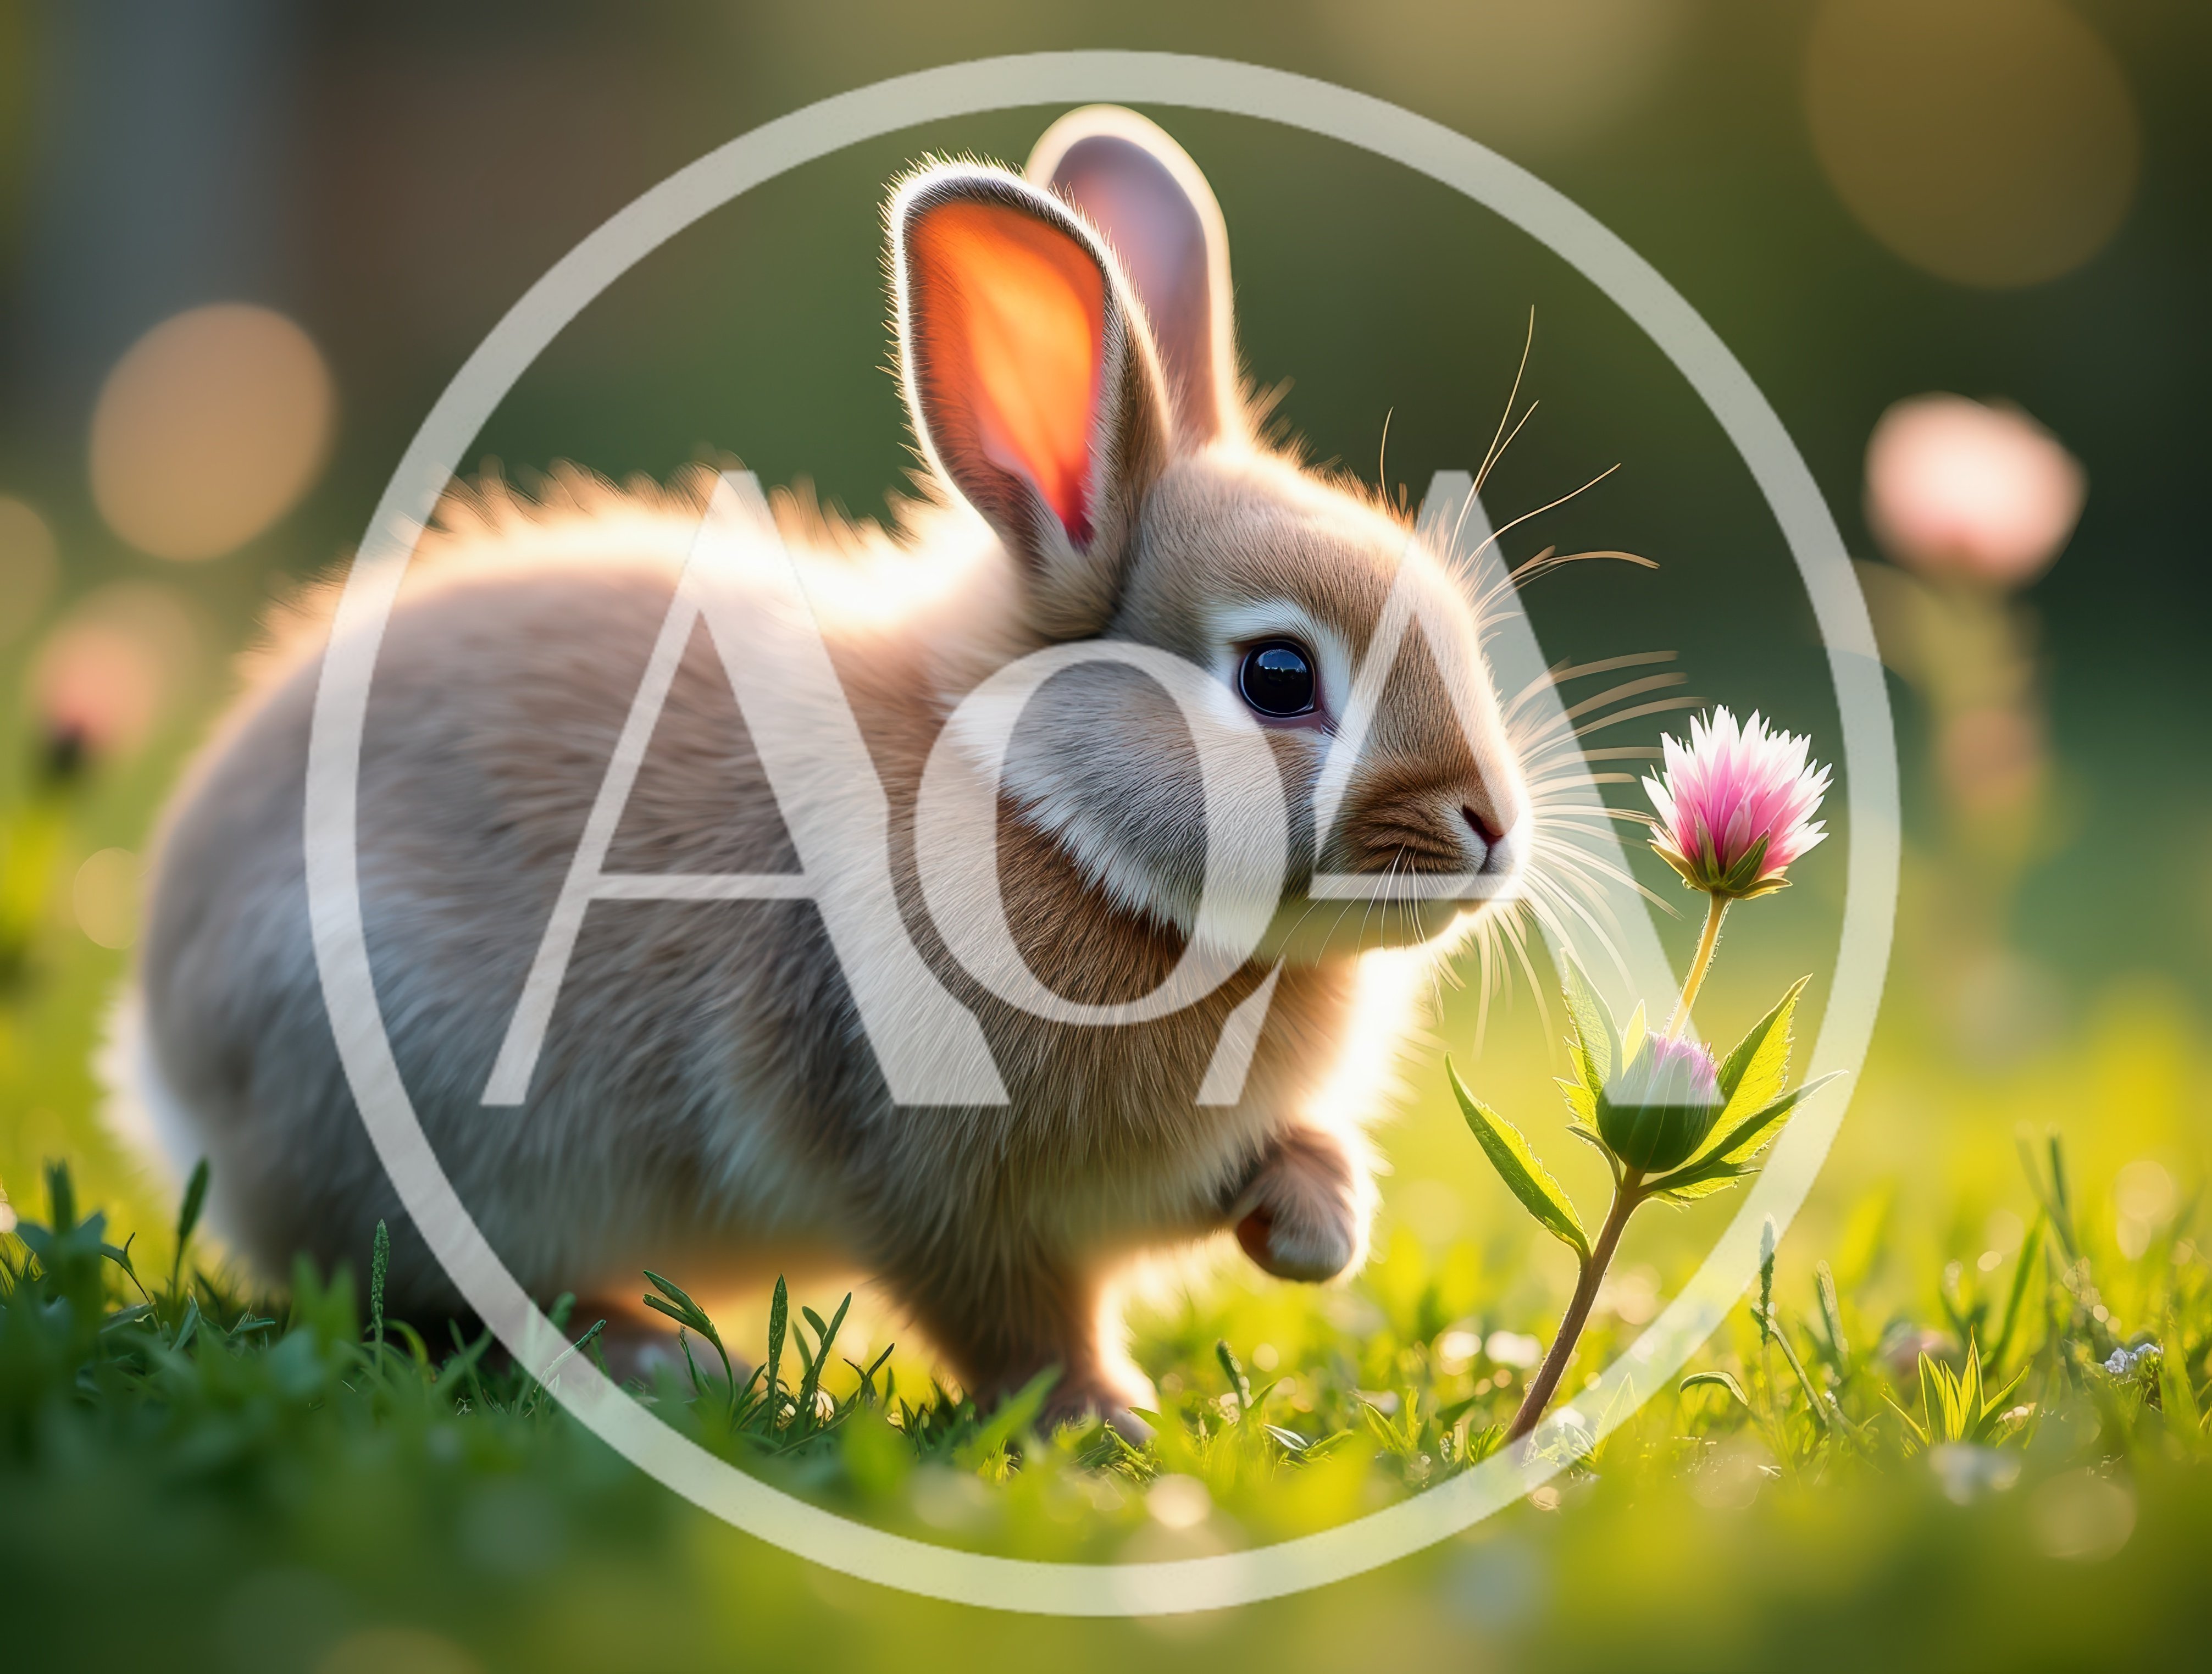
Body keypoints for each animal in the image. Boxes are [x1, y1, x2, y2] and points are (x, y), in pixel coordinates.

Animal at [119, 105, 1528, 1427]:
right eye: (1279, 677)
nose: (1493, 829)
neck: (1036, 806)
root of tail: (167, 1064)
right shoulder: (933, 1186)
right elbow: (1011, 1322)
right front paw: (1105, 1420)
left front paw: (1316, 1228)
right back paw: (655, 1356)